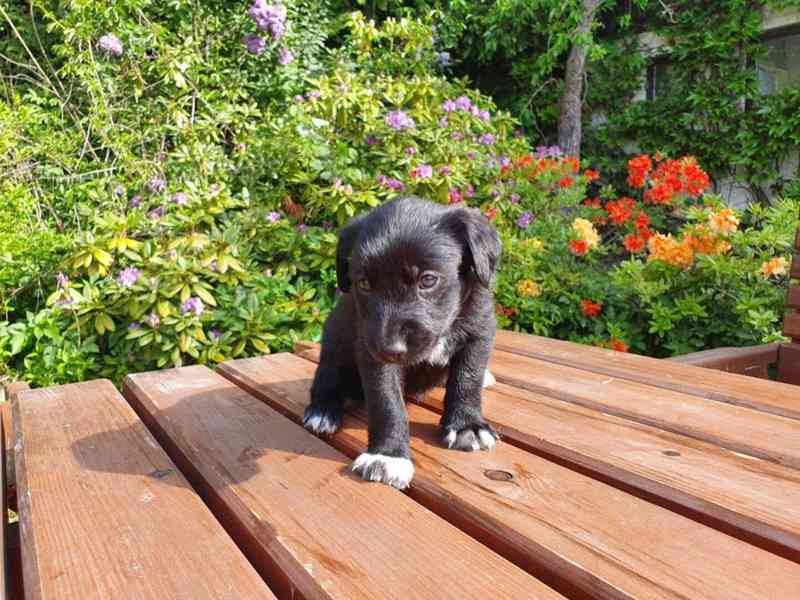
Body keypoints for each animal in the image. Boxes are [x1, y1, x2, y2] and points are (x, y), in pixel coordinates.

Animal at [306, 196, 500, 488]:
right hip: (334, 346)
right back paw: (323, 410)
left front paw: (467, 425)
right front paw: (388, 455)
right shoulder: (371, 351)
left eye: (428, 280)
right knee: (327, 377)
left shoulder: (480, 332)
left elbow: (468, 378)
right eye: (364, 283)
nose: (390, 348)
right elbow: (386, 401)